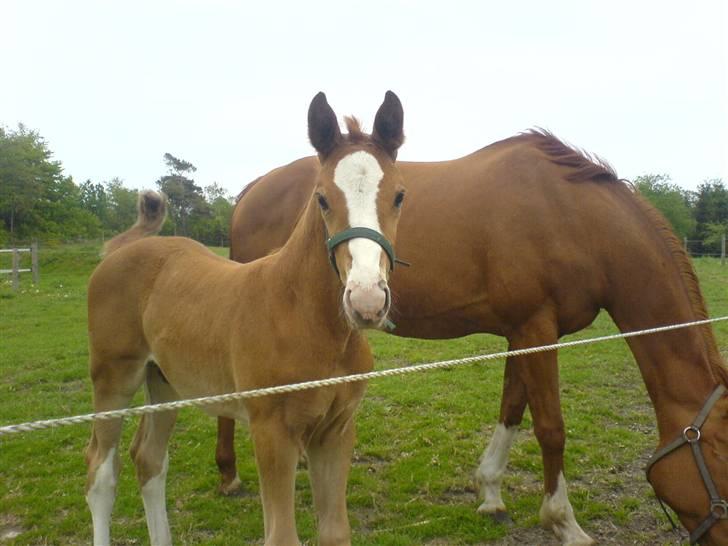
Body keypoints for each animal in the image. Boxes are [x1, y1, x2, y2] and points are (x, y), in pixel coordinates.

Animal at [84, 90, 410, 544]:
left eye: (399, 196)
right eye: (322, 198)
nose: (366, 300)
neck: (310, 322)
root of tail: (121, 251)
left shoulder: (336, 431)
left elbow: (335, 532)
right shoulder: (271, 431)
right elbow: (282, 536)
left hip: (164, 381)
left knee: (148, 459)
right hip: (113, 377)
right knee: (101, 470)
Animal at [218, 133, 728, 544]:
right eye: (721, 459)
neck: (572, 216)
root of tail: (252, 190)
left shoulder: (524, 332)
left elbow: (513, 409)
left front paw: (490, 493)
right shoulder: (537, 330)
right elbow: (551, 428)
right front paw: (563, 521)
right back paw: (229, 476)